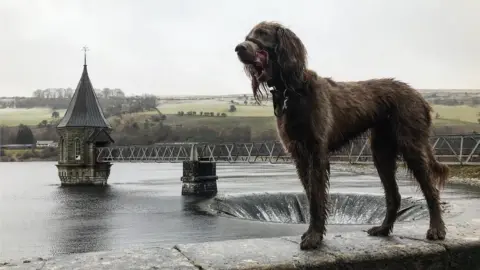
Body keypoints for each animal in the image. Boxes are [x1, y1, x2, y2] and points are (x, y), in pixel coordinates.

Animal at [234, 21, 448, 251]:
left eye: (263, 33)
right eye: (247, 36)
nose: (238, 48)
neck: (292, 91)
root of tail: (420, 96)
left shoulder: (316, 152)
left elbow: (317, 198)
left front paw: (314, 237)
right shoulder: (300, 155)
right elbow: (310, 195)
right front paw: (313, 233)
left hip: (411, 145)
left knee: (431, 190)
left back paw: (437, 229)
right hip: (381, 152)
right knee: (394, 196)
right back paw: (383, 229)